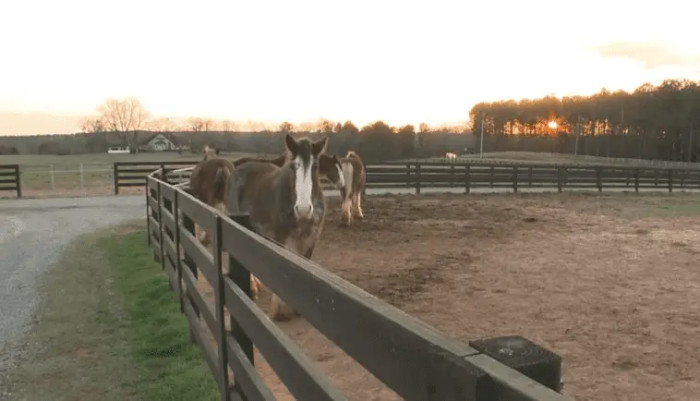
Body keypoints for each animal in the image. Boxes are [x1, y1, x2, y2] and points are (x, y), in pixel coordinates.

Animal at [225, 134, 329, 321]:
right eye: (294, 167)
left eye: (315, 166)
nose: (303, 209)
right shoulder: (282, 239)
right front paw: (280, 309)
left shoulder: (310, 240)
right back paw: (252, 288)